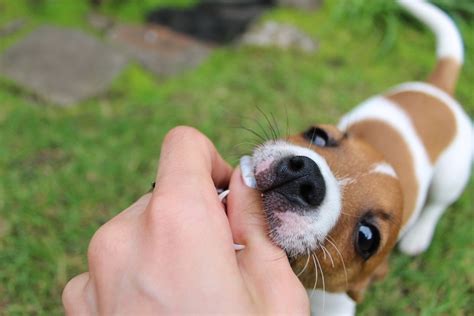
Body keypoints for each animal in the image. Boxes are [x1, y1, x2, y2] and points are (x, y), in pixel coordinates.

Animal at [241, 0, 474, 314]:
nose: (306, 175)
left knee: (437, 204)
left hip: (450, 175)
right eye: (318, 136)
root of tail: (439, 90)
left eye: (367, 238)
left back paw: (418, 236)